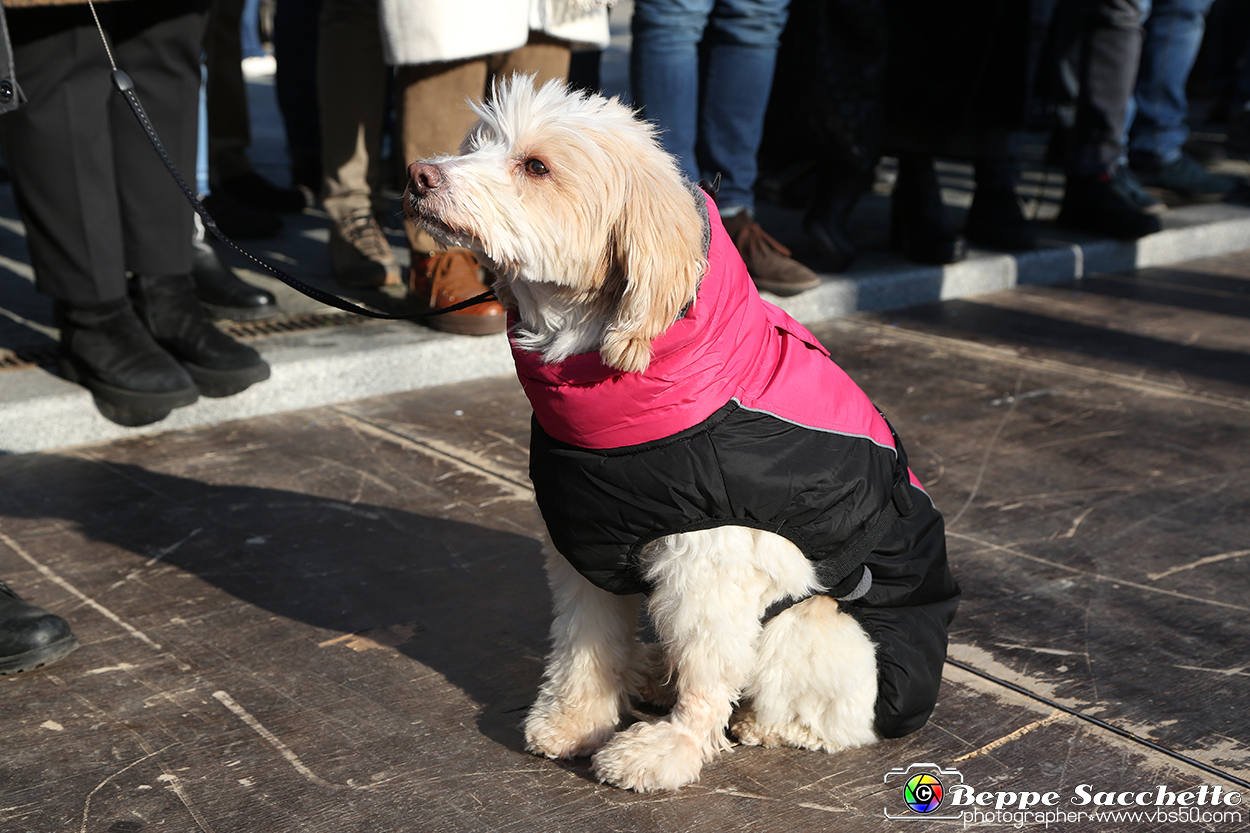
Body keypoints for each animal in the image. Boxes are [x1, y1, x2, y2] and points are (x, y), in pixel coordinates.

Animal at [402, 74, 955, 790]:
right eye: (479, 146)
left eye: (536, 166)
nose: (417, 175)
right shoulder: (583, 539)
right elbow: (585, 642)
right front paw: (577, 717)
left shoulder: (708, 566)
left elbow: (707, 669)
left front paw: (674, 749)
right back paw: (648, 673)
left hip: (815, 625)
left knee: (816, 713)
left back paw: (757, 722)